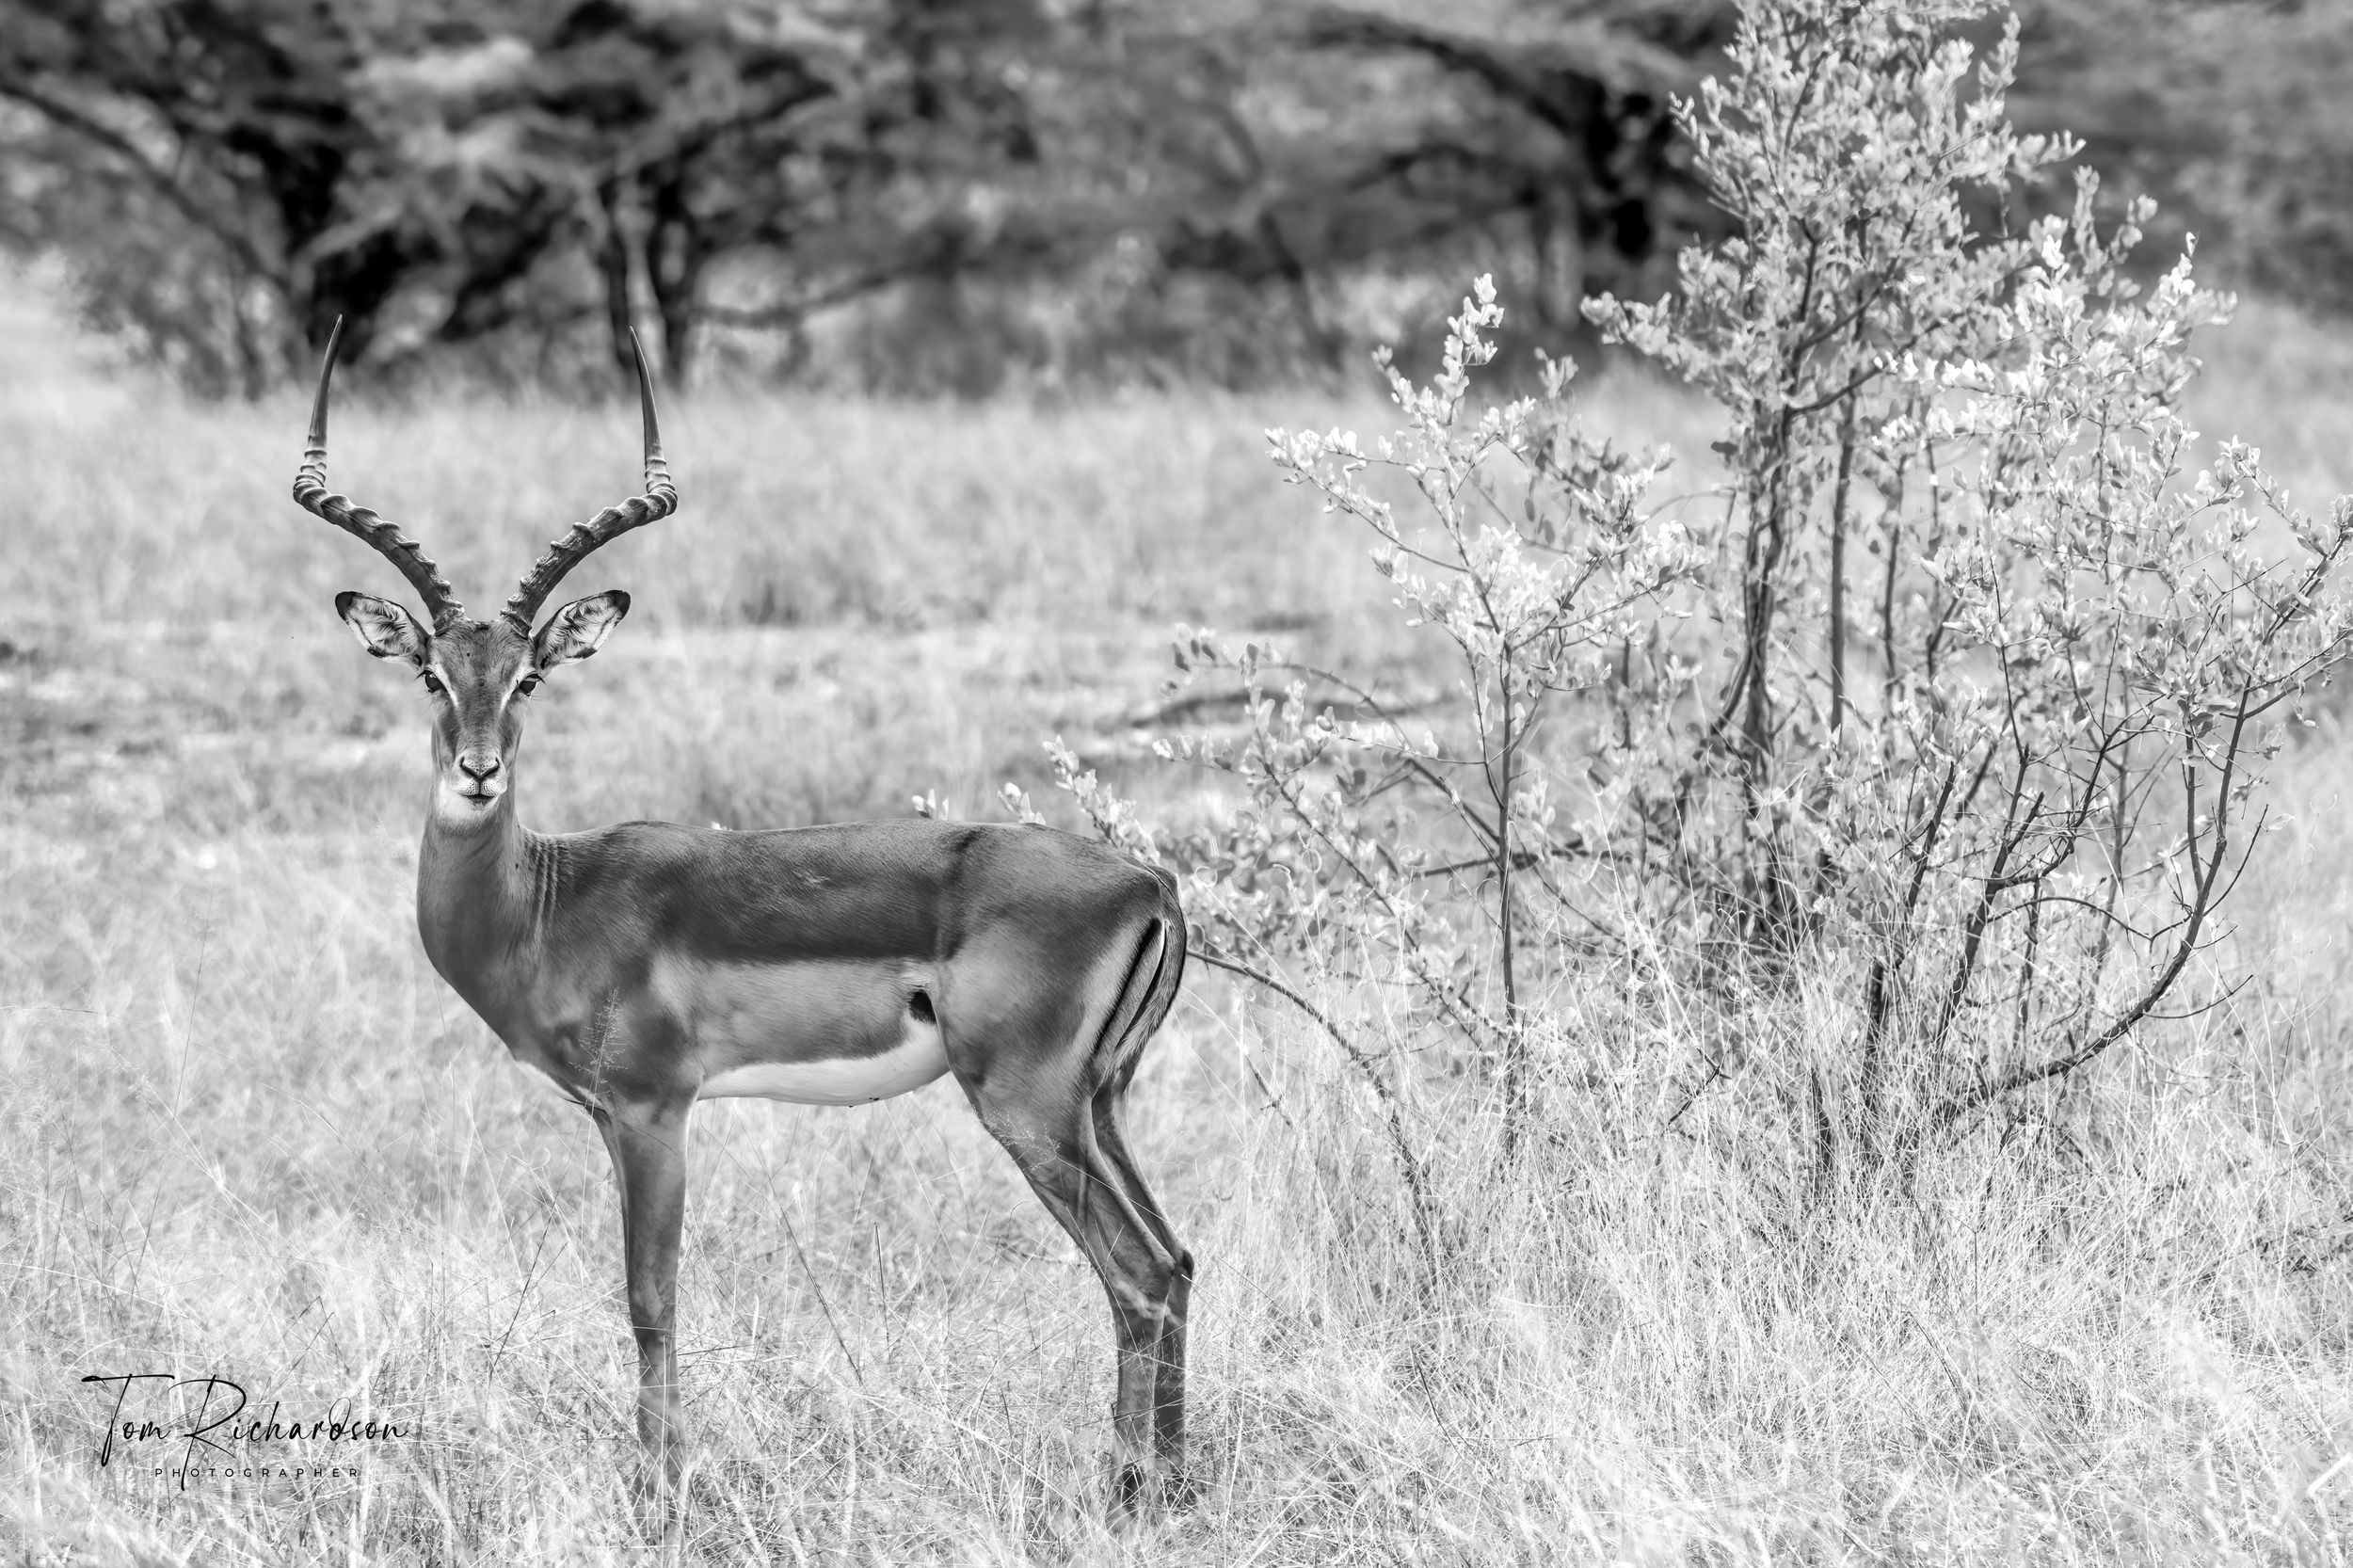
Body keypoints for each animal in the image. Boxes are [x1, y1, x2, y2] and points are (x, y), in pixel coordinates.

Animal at [291, 322, 1193, 1517]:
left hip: (1030, 1107)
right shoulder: (612, 1118)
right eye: (434, 675)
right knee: (1175, 1263)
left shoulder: (653, 1111)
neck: (549, 899)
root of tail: (1151, 885)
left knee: (1136, 1273)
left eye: (528, 678)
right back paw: (1168, 1480)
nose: (478, 771)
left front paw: (659, 1487)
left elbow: (649, 1297)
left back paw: (1131, 1487)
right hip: (1102, 1103)